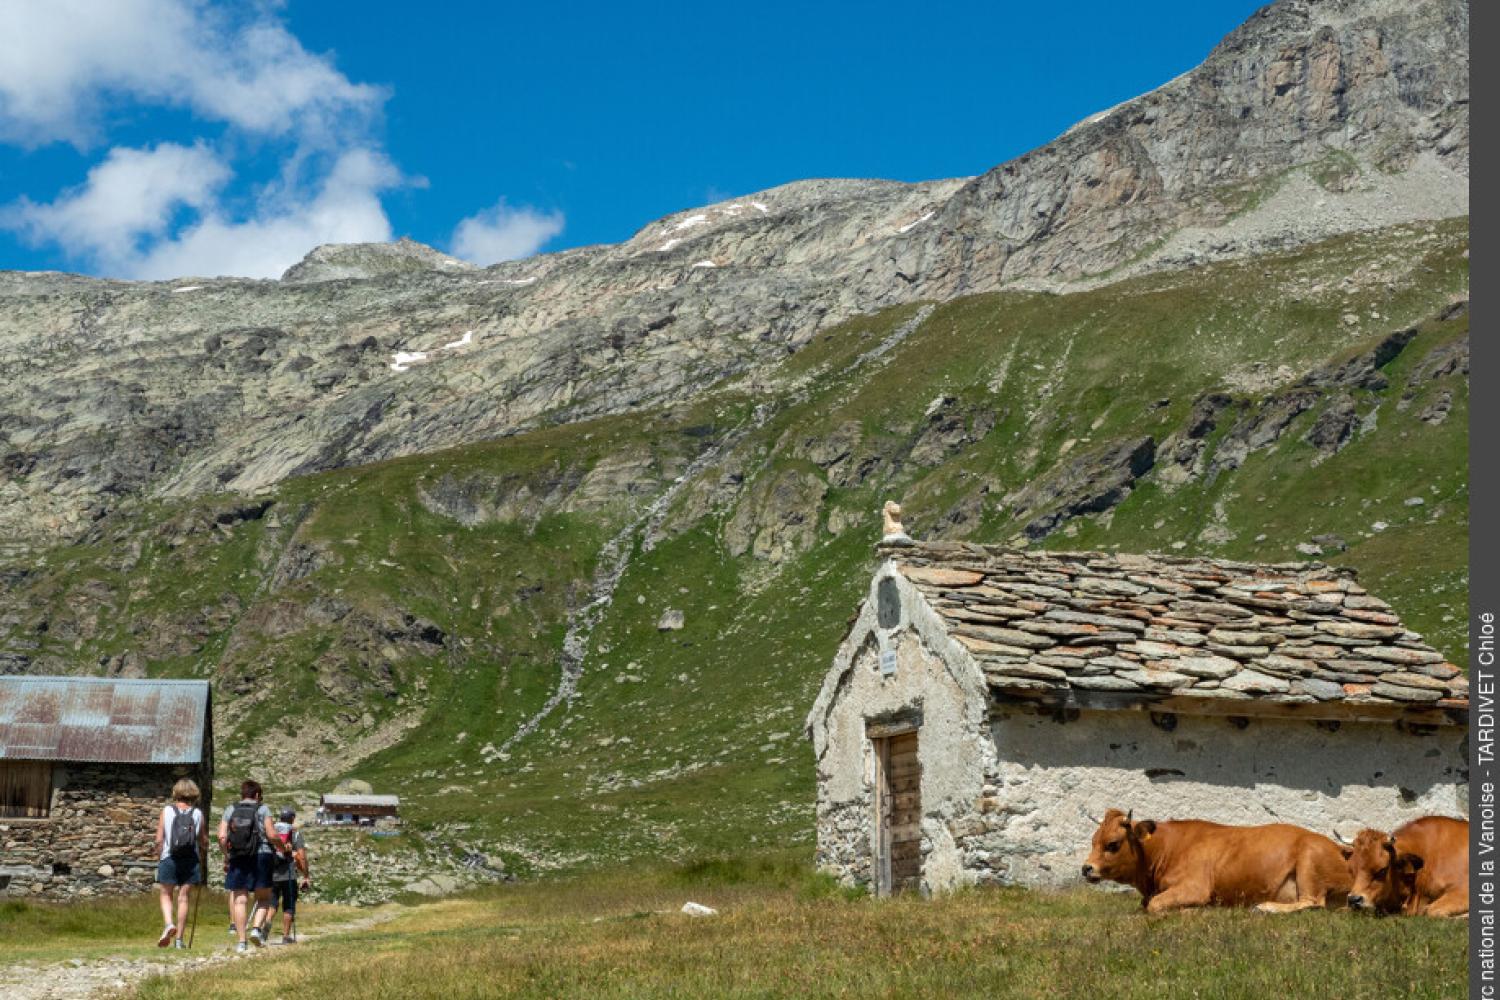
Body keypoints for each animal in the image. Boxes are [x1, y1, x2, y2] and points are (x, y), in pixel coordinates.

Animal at [1086, 803, 1356, 917]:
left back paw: (1266, 907)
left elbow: (1154, 905)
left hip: (1309, 859)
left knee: (1313, 902)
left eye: (1113, 844)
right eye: (1093, 841)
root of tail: (1341, 849)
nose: (1085, 868)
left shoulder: (1195, 887)